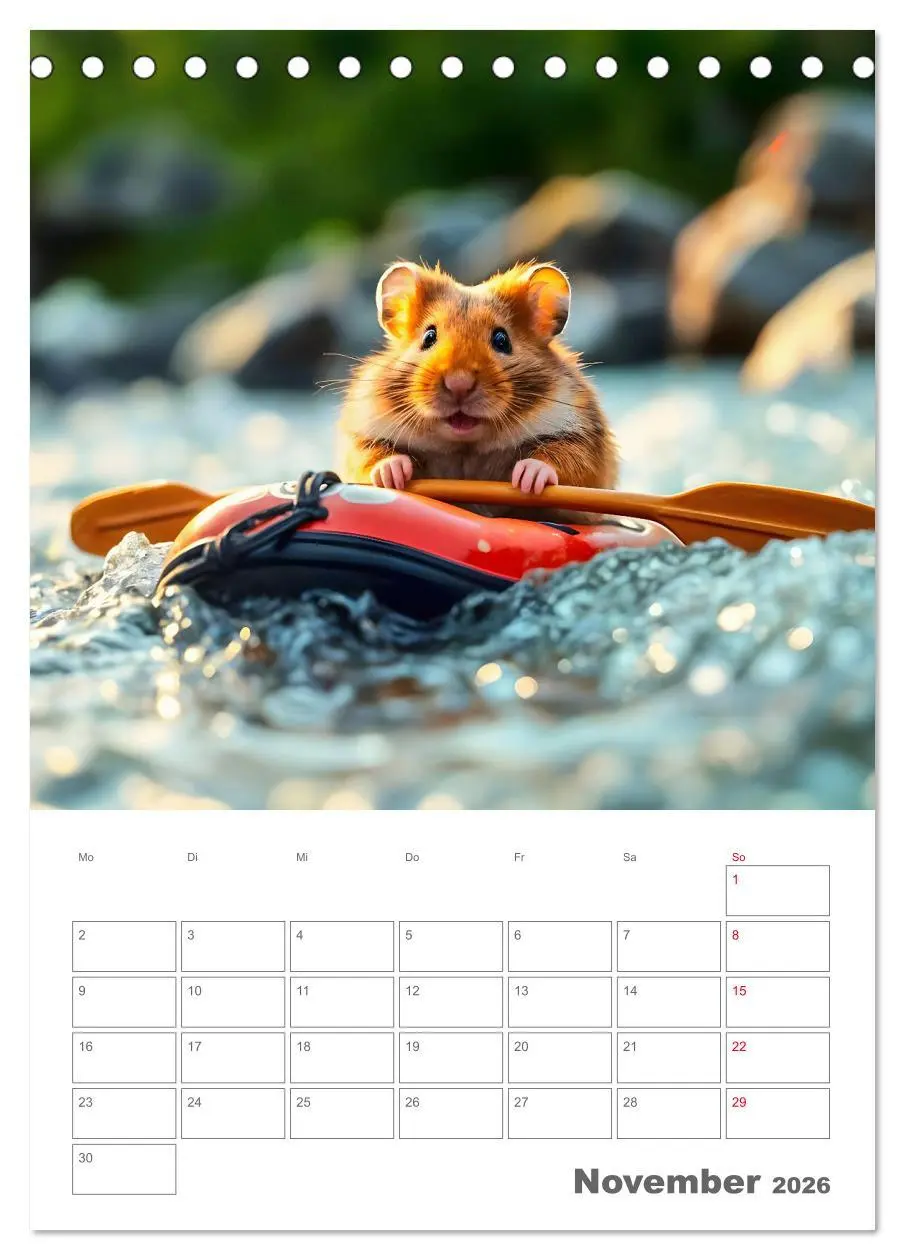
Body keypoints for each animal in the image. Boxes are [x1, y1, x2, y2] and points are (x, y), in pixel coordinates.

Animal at [336, 261, 617, 518]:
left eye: (502, 339)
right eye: (429, 337)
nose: (458, 384)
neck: (466, 447)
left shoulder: (585, 437)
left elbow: (568, 460)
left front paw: (527, 477)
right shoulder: (362, 431)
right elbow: (368, 456)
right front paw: (392, 473)